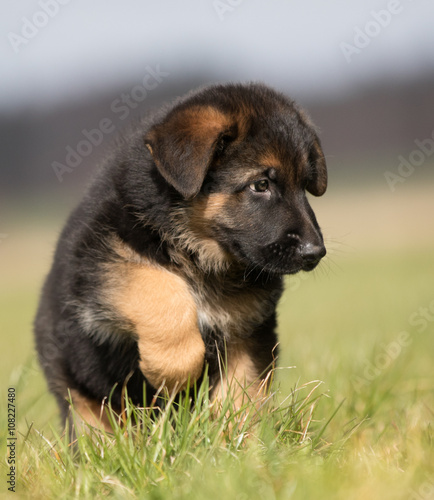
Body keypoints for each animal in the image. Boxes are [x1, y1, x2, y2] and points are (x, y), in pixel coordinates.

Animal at [34, 82, 326, 430]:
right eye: (261, 185)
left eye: (305, 186)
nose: (314, 252)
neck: (202, 254)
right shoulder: (99, 262)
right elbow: (156, 283)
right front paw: (173, 368)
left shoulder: (247, 329)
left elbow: (243, 391)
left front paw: (238, 439)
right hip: (76, 385)